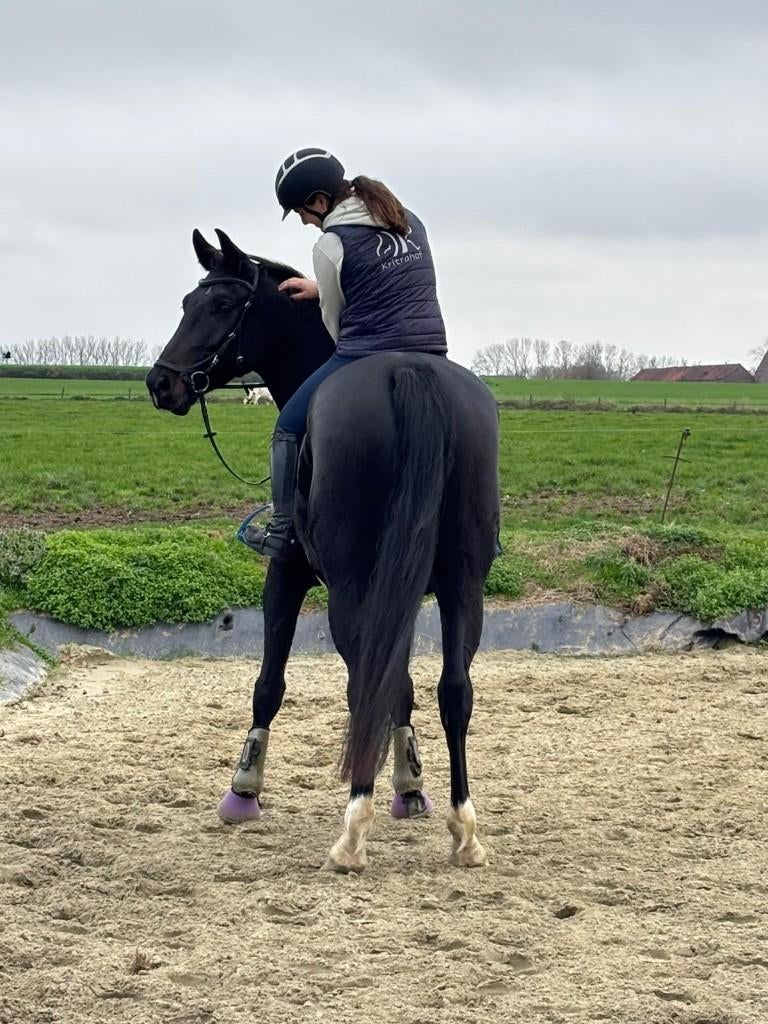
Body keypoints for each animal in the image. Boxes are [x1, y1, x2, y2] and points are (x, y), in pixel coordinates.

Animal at [146, 228, 500, 871]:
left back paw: (353, 832)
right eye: (188, 301)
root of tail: (408, 371)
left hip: (351, 588)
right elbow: (403, 682)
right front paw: (410, 784)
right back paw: (463, 830)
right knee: (453, 691)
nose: (161, 383)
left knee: (364, 684)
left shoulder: (286, 577)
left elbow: (270, 684)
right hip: (464, 585)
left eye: (222, 306)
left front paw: (244, 788)